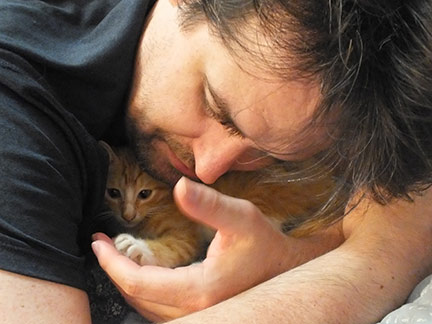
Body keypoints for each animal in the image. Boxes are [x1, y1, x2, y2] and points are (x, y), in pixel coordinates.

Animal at [99, 142, 340, 268]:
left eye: (145, 193)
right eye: (113, 193)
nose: (127, 215)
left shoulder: (186, 234)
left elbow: (175, 247)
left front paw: (135, 246)